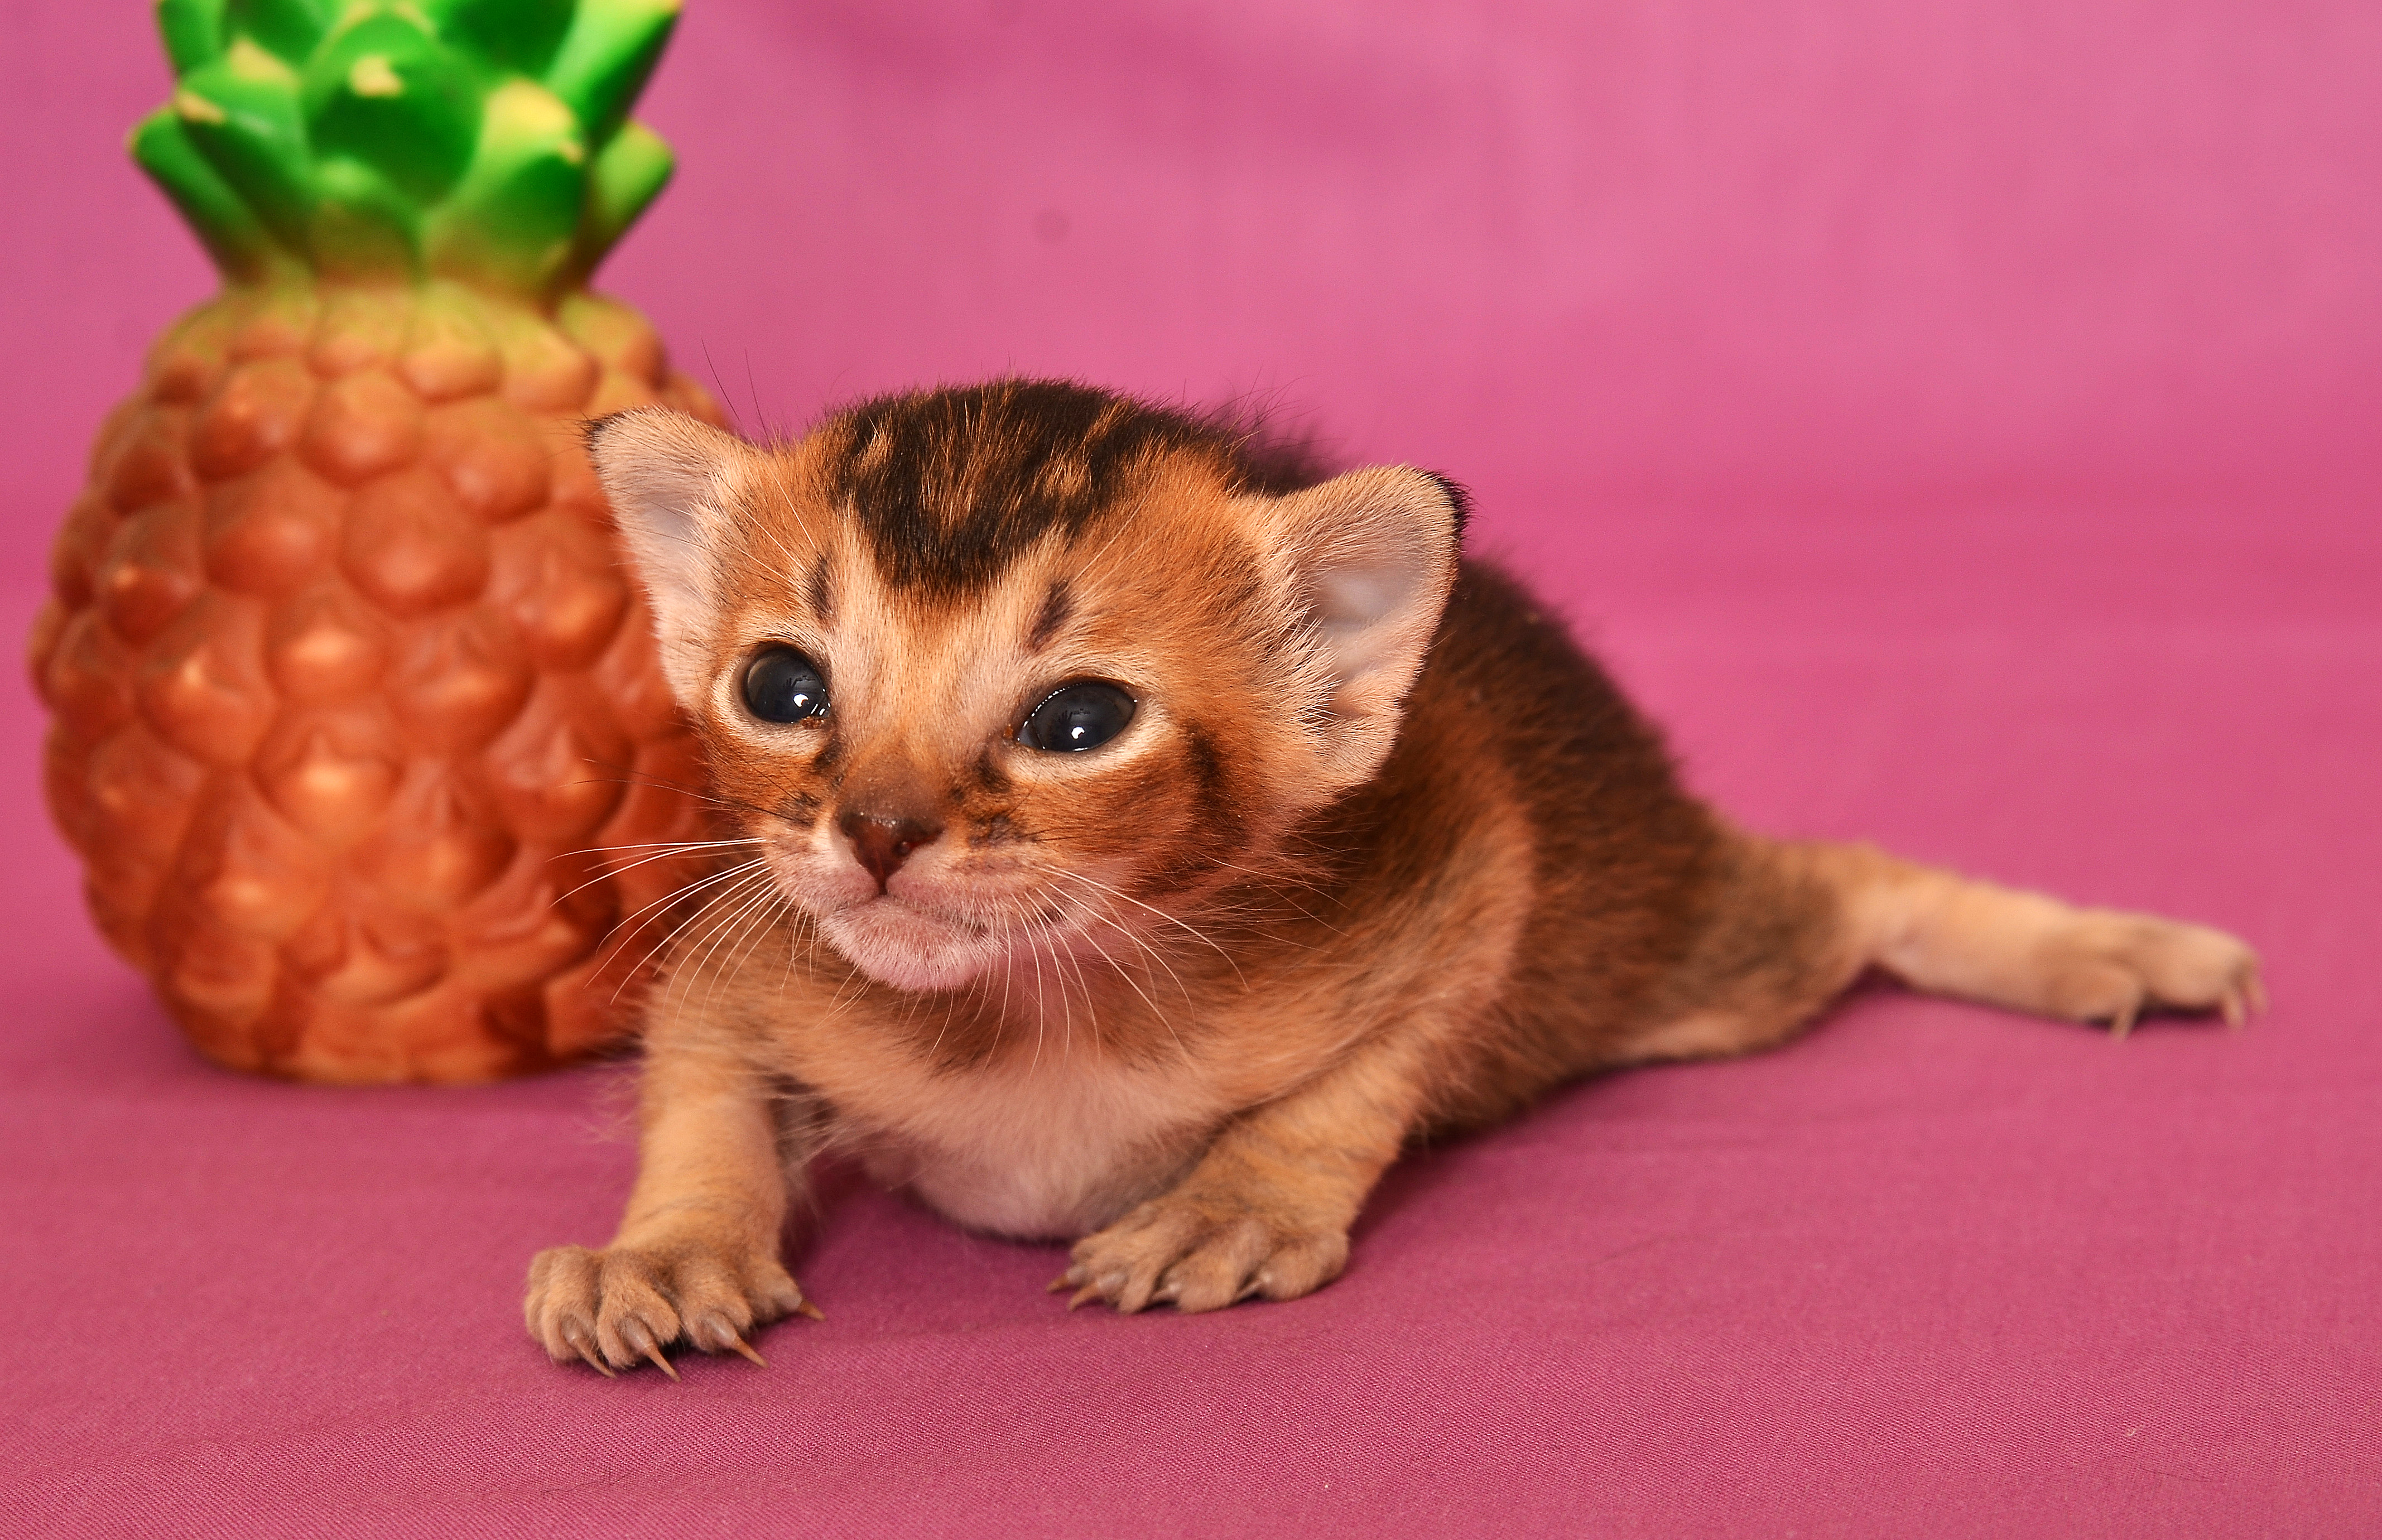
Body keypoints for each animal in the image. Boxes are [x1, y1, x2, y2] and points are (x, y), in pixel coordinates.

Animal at [524, 379, 2260, 1376]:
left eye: (1077, 721)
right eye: (780, 688)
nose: (874, 832)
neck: (1032, 1011)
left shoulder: (1473, 874)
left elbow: (1354, 1086)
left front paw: (1231, 1208)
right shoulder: (730, 939)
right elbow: (700, 1093)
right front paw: (666, 1245)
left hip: (1667, 944)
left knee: (1846, 880)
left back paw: (2109, 948)